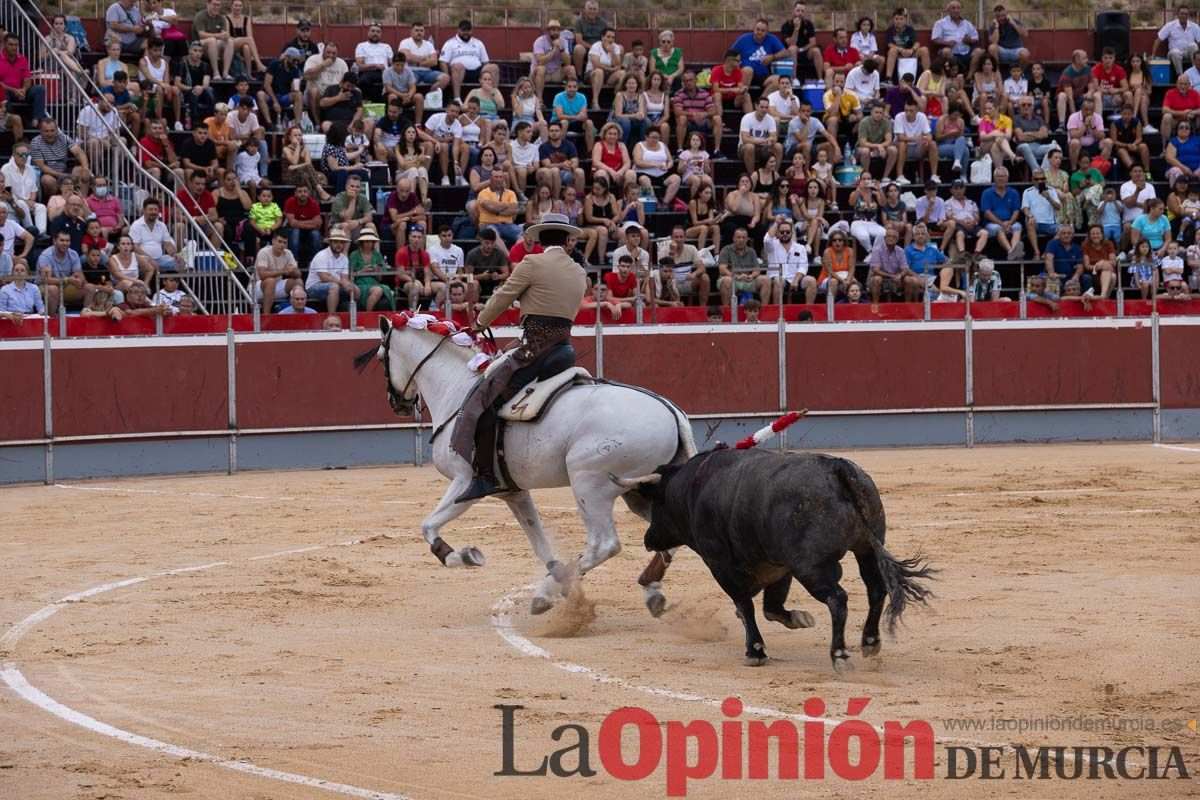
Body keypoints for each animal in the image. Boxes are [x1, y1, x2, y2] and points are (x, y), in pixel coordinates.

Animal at [362, 316, 696, 618]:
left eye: (380, 357)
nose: (397, 404)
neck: (457, 389)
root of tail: (671, 411)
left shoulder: (464, 483)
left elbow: (428, 525)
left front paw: (466, 556)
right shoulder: (514, 493)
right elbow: (540, 544)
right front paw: (562, 581)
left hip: (590, 485)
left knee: (604, 545)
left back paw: (544, 594)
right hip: (639, 491)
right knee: (669, 531)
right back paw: (650, 591)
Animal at [619, 450, 936, 671]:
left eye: (655, 502)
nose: (648, 539)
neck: (692, 490)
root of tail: (838, 469)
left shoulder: (720, 563)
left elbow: (745, 605)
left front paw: (755, 651)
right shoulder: (778, 565)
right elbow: (771, 607)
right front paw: (798, 618)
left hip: (810, 567)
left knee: (837, 598)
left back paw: (840, 655)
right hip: (867, 550)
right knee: (876, 590)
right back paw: (870, 642)